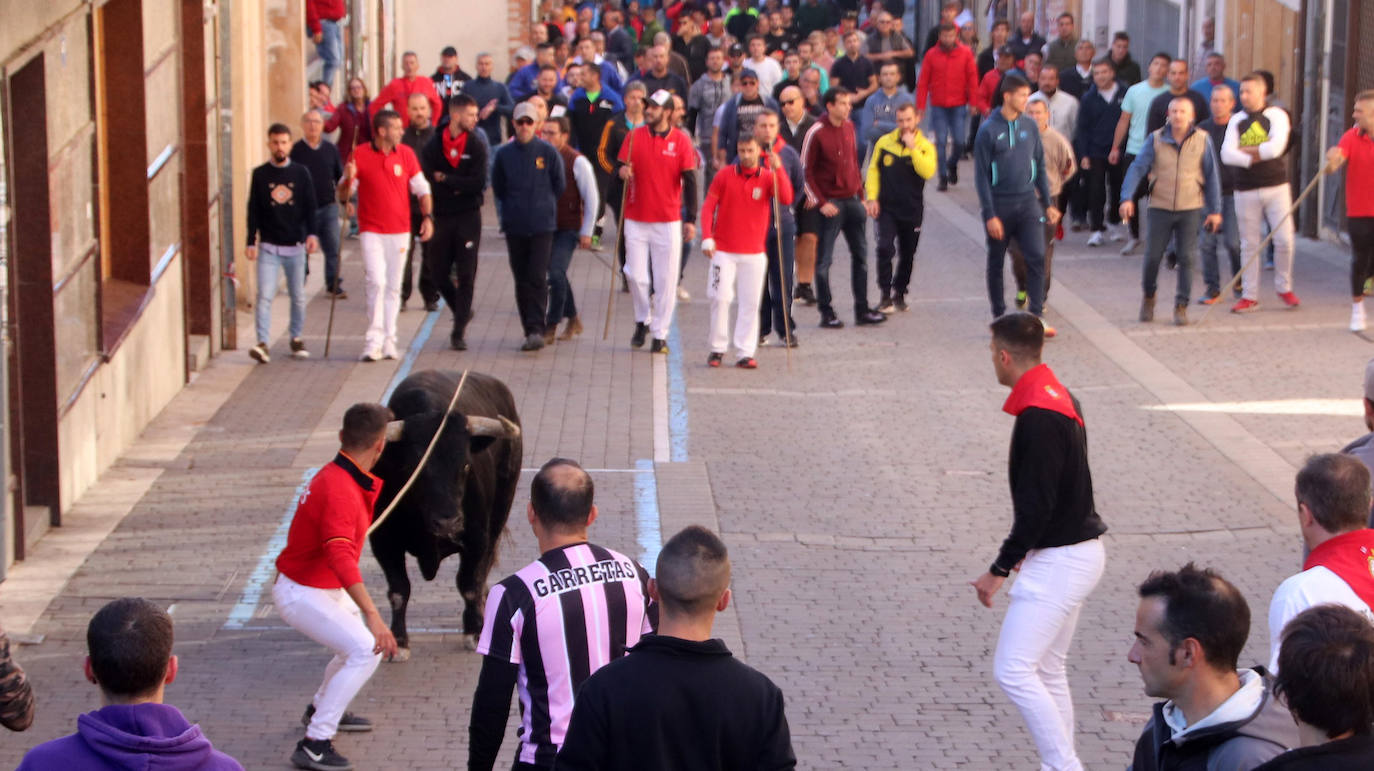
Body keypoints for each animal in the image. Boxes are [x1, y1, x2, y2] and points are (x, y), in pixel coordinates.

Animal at [370, 371, 519, 651]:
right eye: (412, 468)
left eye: (466, 465)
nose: (448, 522)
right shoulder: (383, 542)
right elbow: (398, 590)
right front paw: (399, 641)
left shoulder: (476, 538)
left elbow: (469, 584)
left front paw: (475, 631)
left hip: (501, 509)